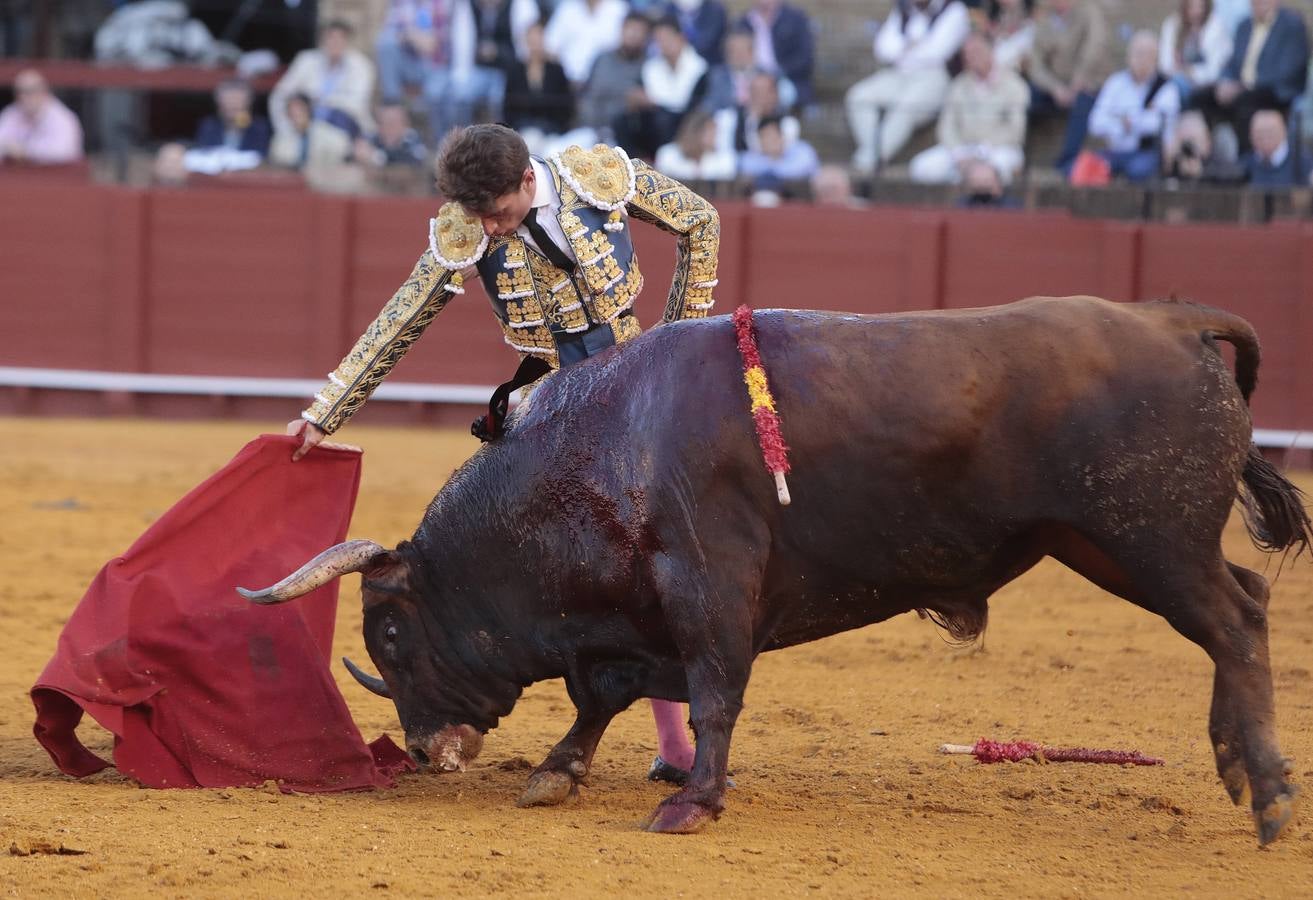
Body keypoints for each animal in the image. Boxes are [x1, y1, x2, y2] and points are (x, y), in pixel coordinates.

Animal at [241, 296, 1307, 840]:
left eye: (386, 628)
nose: (425, 749)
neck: (598, 446)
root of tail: (1176, 325)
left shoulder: (706, 583)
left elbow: (715, 691)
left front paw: (690, 804)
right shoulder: (634, 621)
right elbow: (602, 697)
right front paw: (556, 773)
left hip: (1145, 541)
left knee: (1235, 624)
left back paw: (1268, 798)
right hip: (1105, 545)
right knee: (1243, 607)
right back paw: (1233, 770)